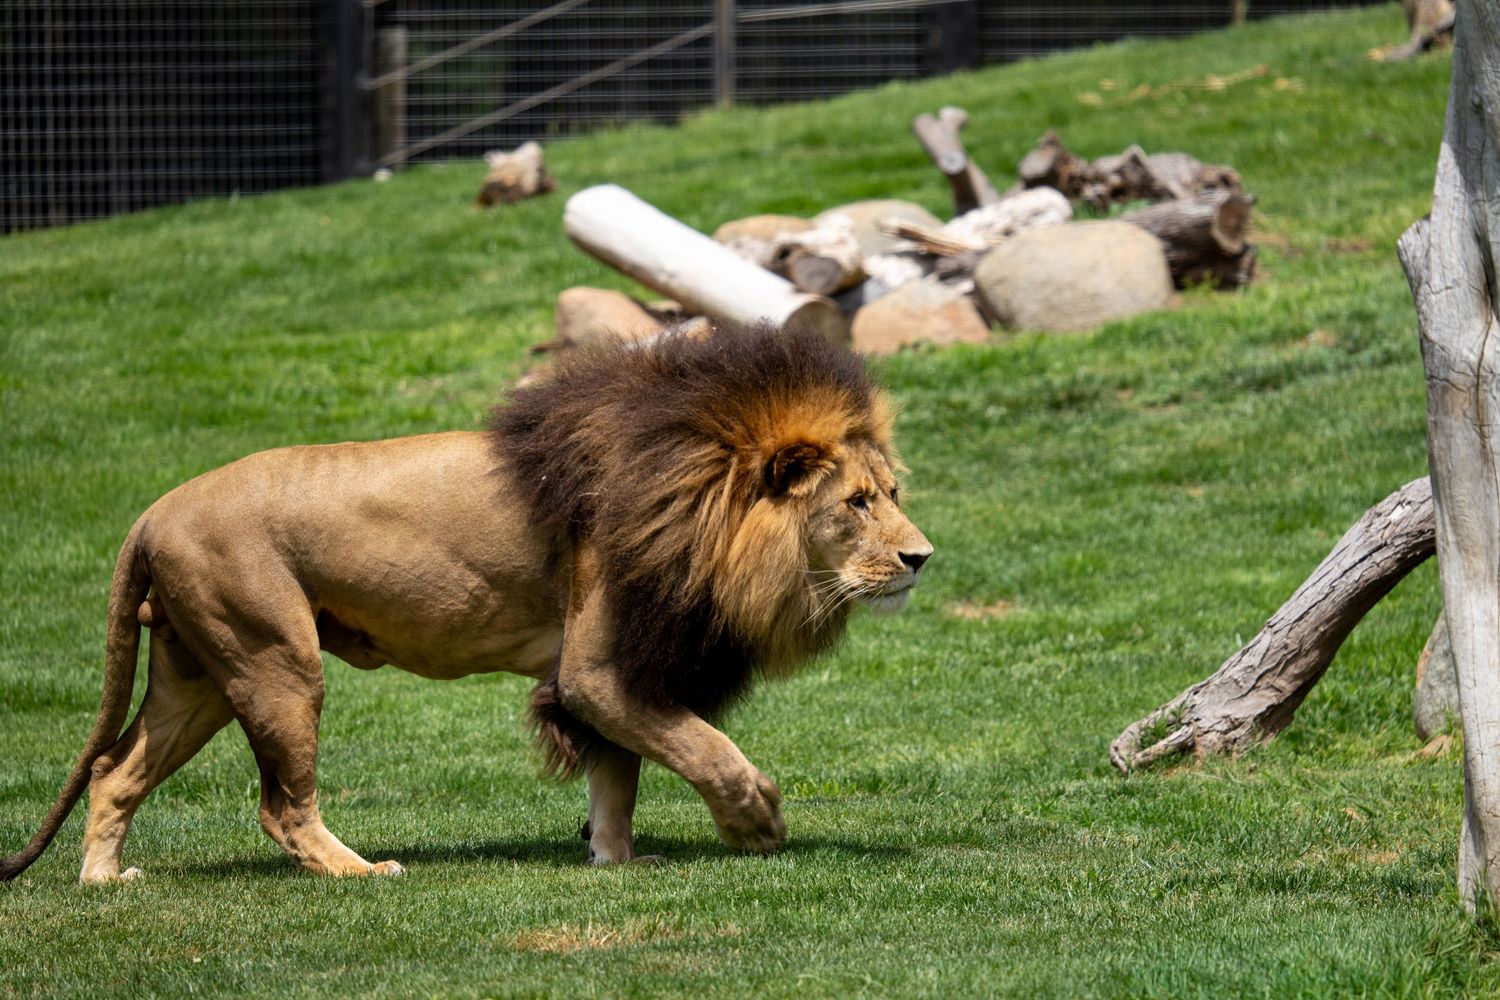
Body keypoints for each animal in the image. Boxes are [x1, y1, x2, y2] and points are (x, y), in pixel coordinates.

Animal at [0, 322, 931, 883]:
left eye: (890, 492)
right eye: (855, 505)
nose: (921, 557)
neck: (701, 504)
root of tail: (153, 511)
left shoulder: (616, 674)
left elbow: (619, 779)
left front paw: (615, 862)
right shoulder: (598, 670)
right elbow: (706, 748)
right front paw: (756, 825)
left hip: (197, 671)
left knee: (116, 771)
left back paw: (105, 880)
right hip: (274, 658)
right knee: (280, 805)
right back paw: (359, 873)